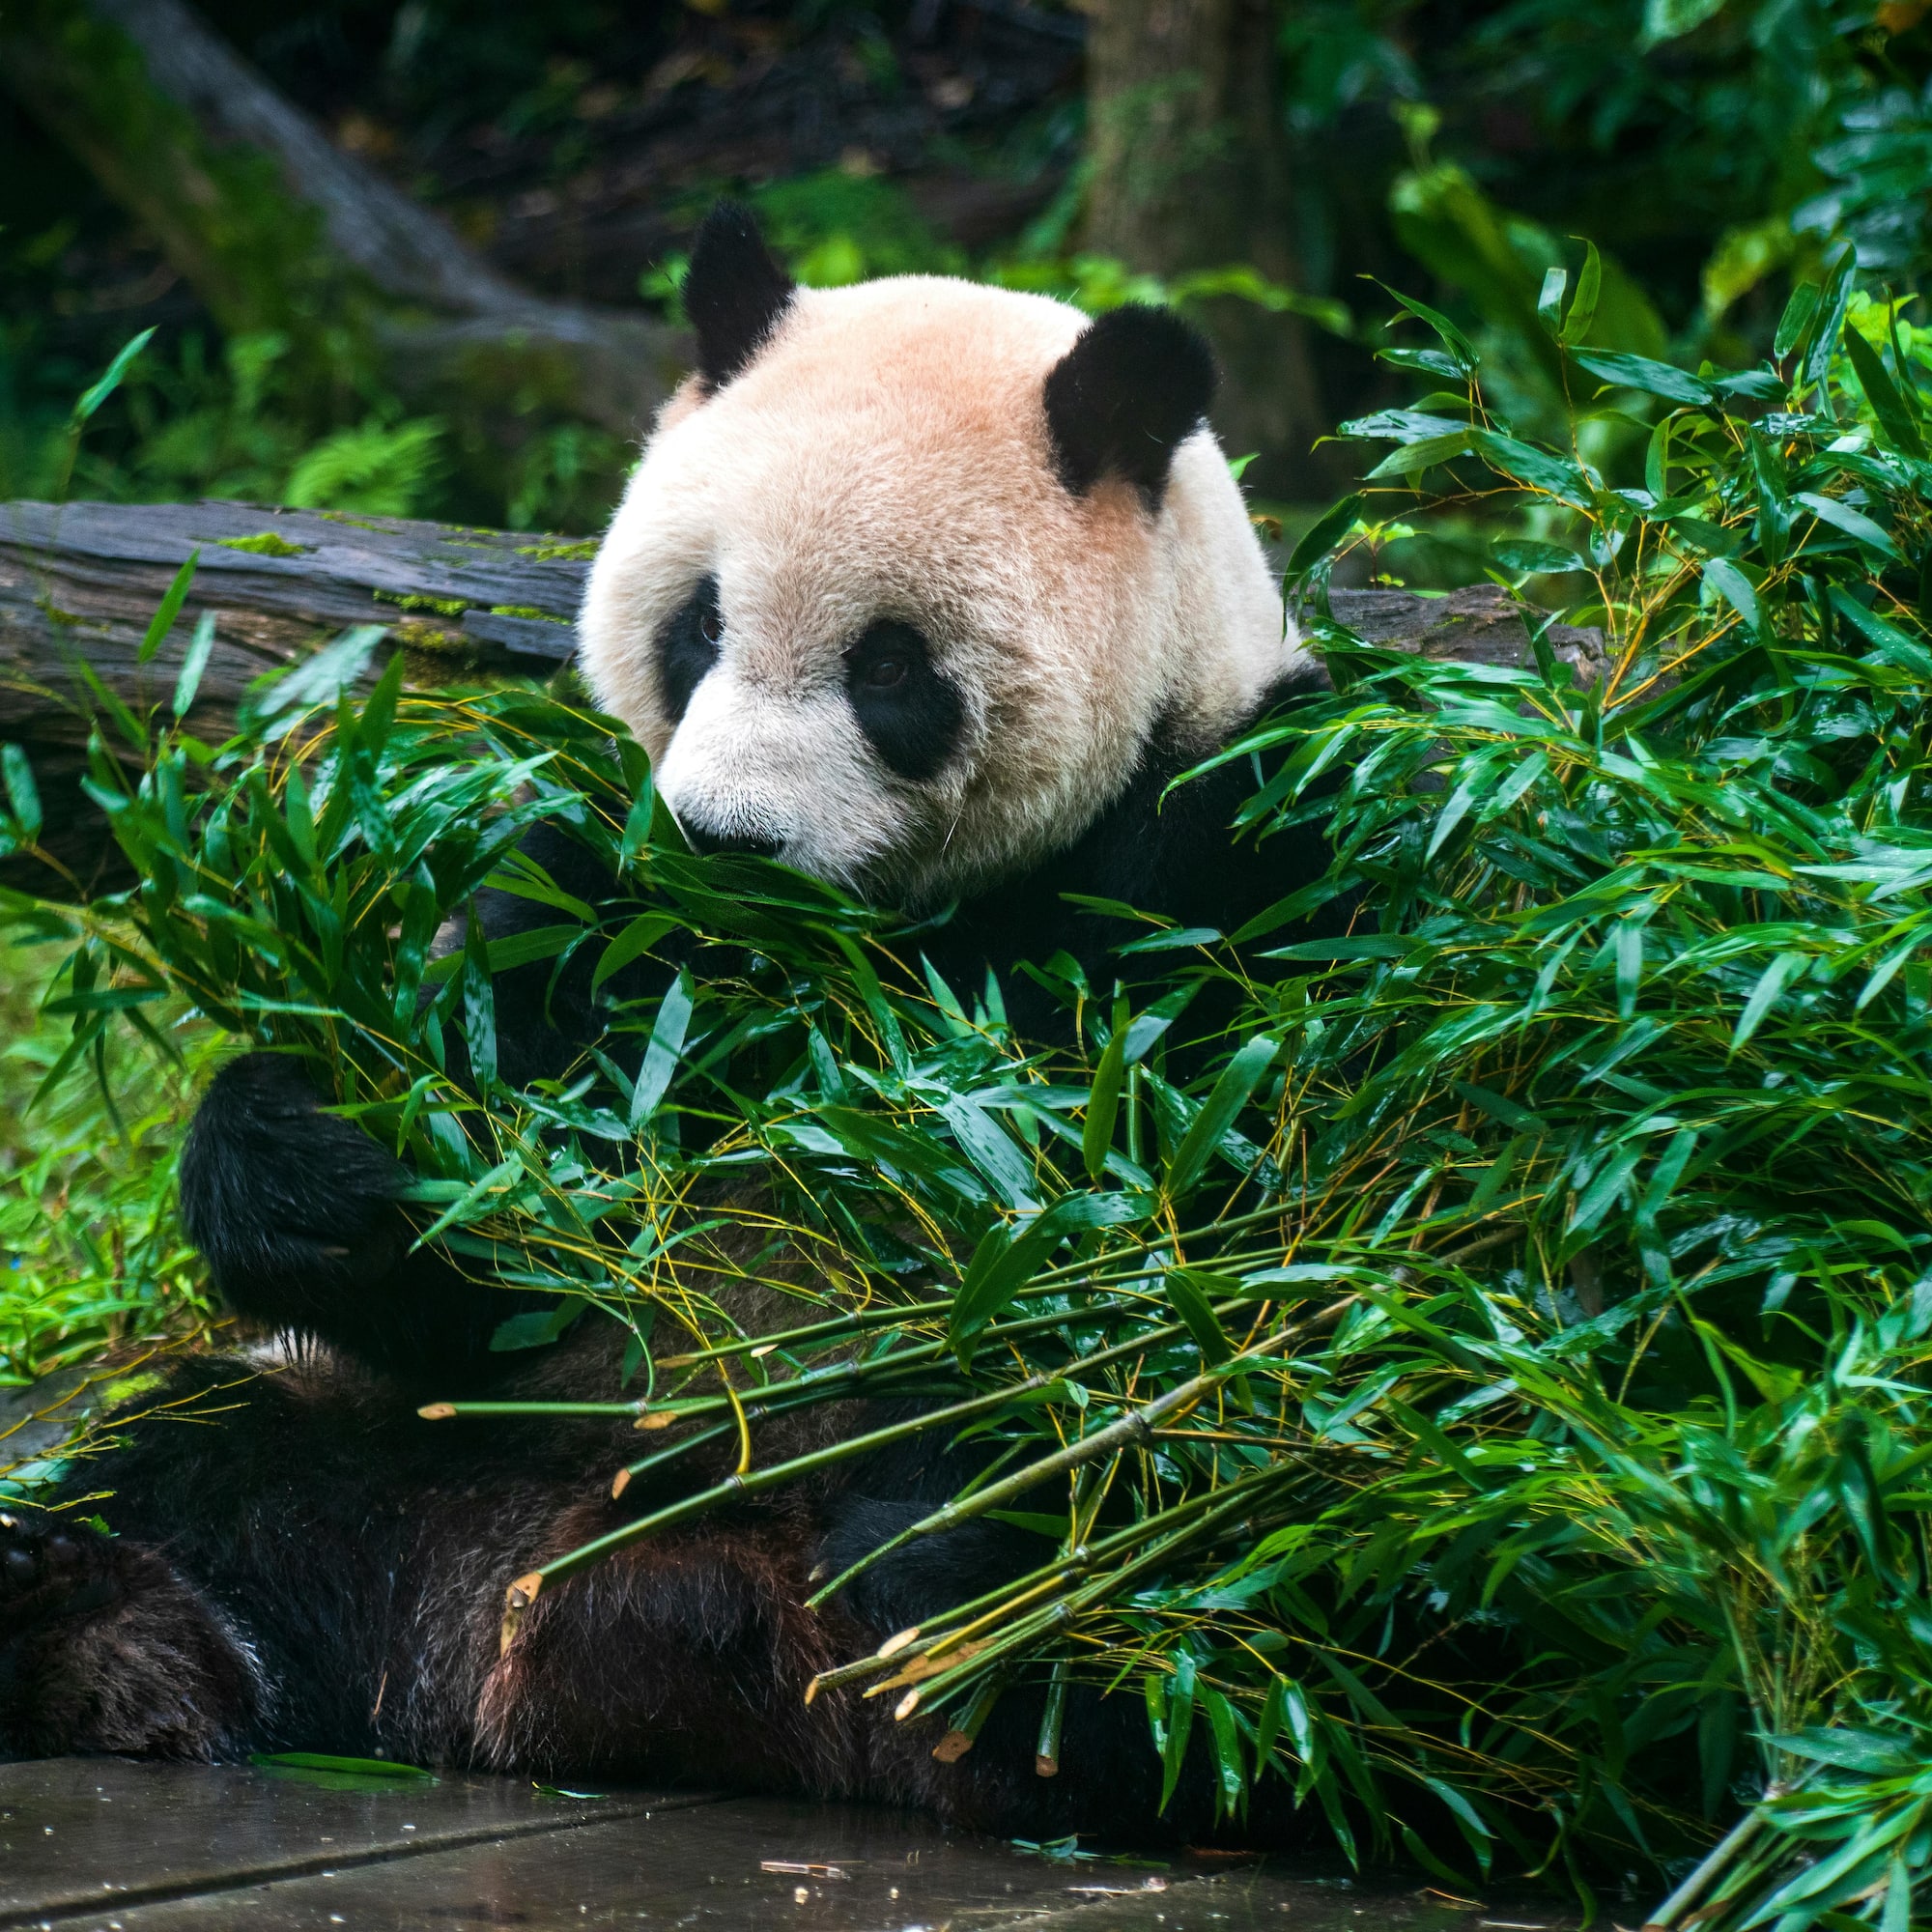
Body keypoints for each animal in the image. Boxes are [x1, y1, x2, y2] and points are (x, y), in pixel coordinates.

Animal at [0, 206, 1332, 1839]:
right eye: (699, 622)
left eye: (892, 665)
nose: (724, 843)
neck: (835, 961)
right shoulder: (595, 912)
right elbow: (474, 1249)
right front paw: (313, 1165)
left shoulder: (1237, 847)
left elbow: (1245, 1256)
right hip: (402, 1456)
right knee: (191, 1458)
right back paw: (94, 1633)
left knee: (1236, 1606)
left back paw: (981, 1616)